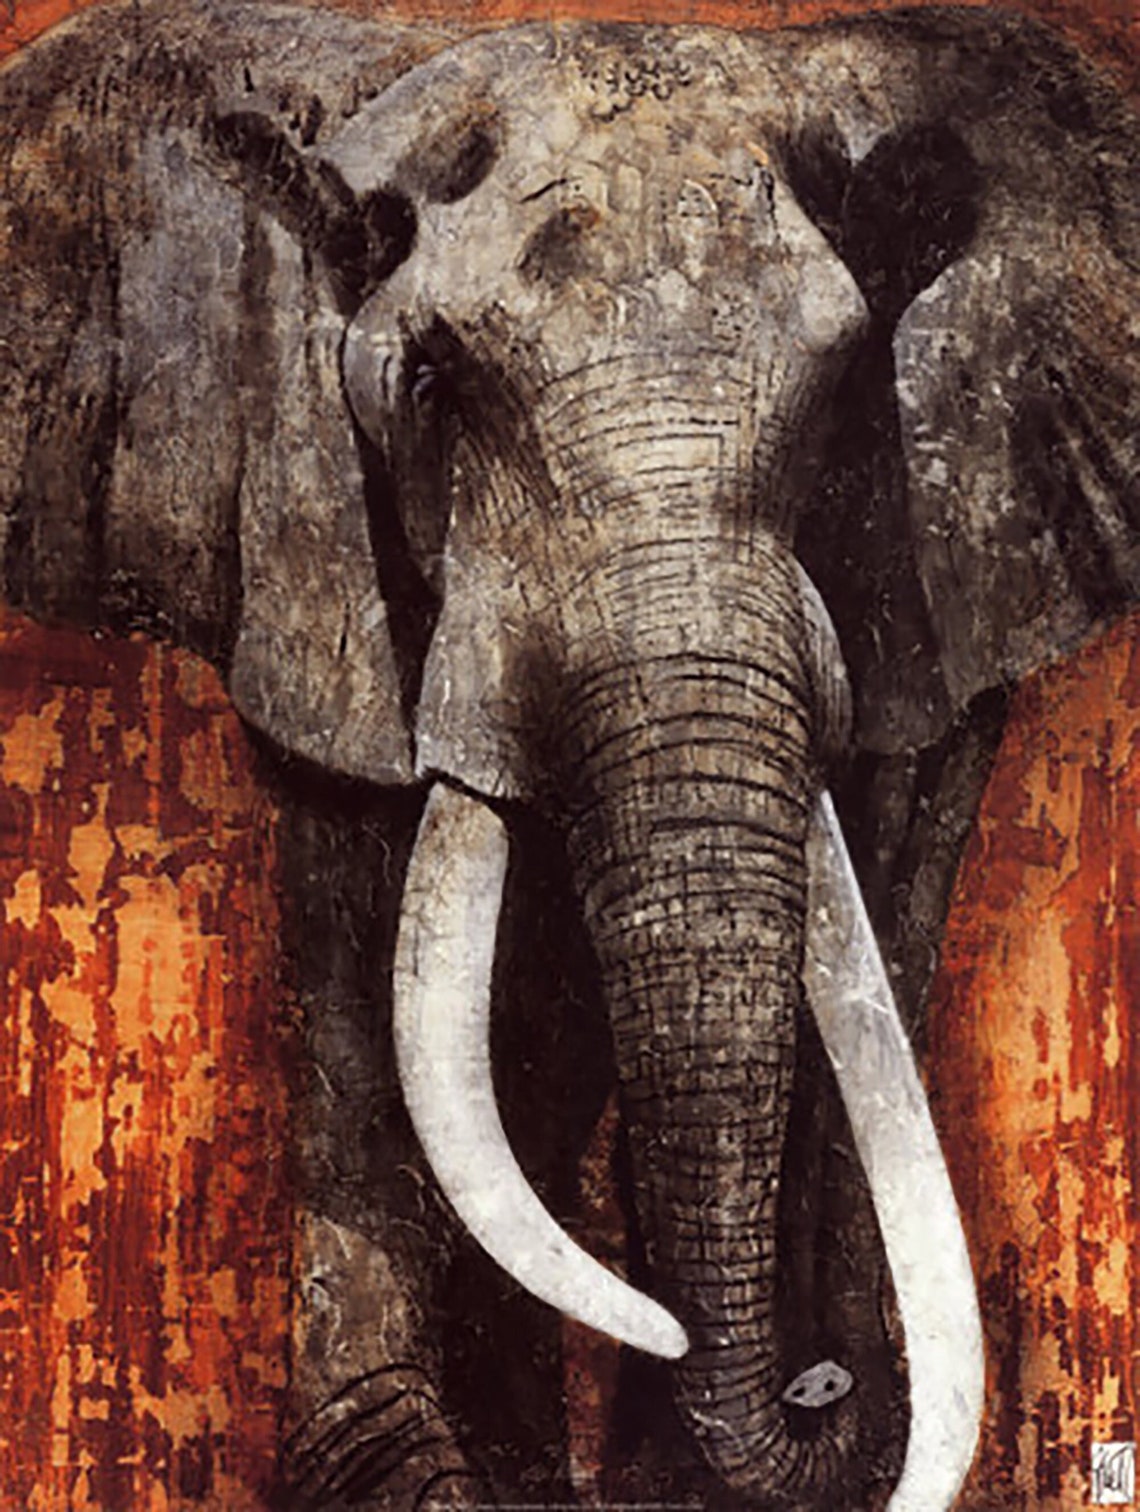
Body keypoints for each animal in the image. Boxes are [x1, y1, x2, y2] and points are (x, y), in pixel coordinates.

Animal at [1, 1, 1138, 1507]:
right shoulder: (306, 532)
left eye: (849, 387)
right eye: (429, 382)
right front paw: (418, 1466)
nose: (826, 1384)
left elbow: (887, 878)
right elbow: (375, 934)